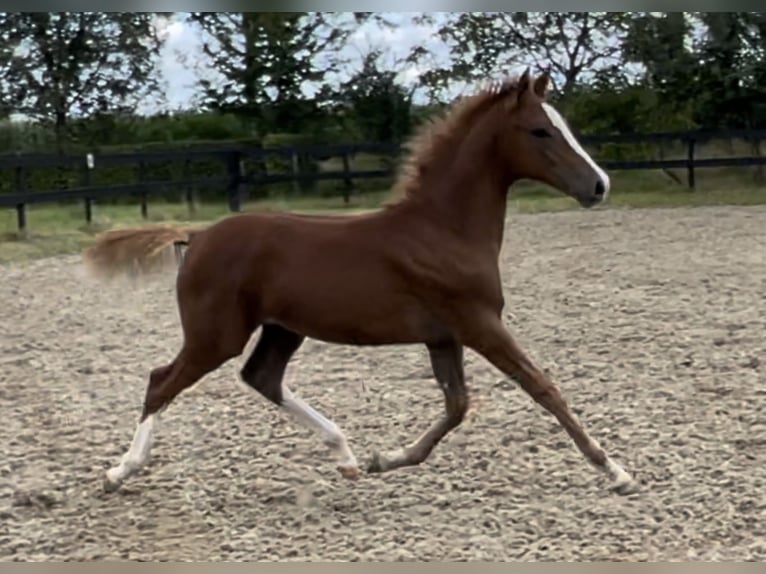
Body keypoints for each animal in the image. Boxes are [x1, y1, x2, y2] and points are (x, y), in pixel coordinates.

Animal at [84, 70, 640, 498]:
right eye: (541, 131)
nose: (600, 186)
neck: (443, 230)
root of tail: (196, 236)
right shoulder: (478, 323)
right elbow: (542, 387)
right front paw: (615, 471)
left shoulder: (444, 335)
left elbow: (457, 406)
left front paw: (383, 460)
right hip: (215, 335)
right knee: (162, 381)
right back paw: (119, 472)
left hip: (282, 328)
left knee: (261, 378)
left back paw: (347, 457)